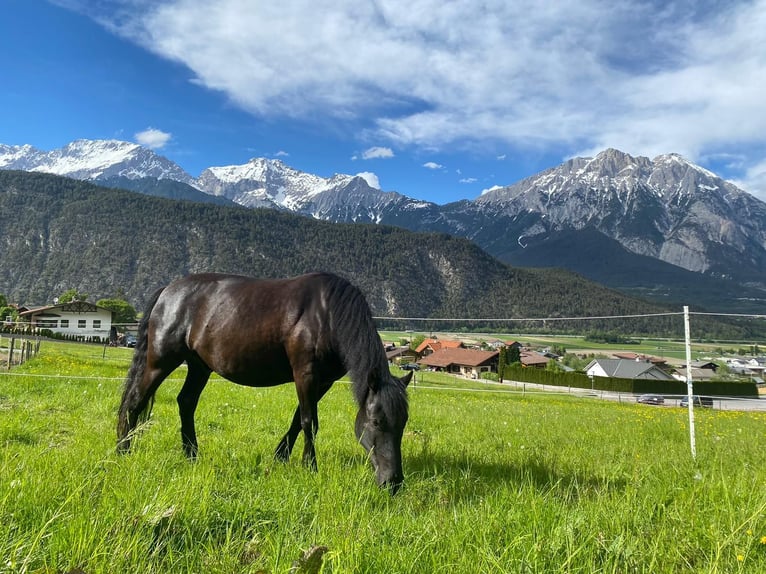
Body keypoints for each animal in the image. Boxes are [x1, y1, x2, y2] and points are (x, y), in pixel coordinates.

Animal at [116, 274, 412, 496]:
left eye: (403, 423)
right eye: (376, 422)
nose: (393, 482)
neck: (328, 314)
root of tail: (168, 291)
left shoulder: (323, 381)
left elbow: (297, 420)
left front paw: (281, 457)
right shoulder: (305, 373)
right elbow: (309, 422)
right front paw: (309, 466)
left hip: (199, 366)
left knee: (186, 402)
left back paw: (191, 455)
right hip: (161, 361)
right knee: (135, 401)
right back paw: (123, 450)